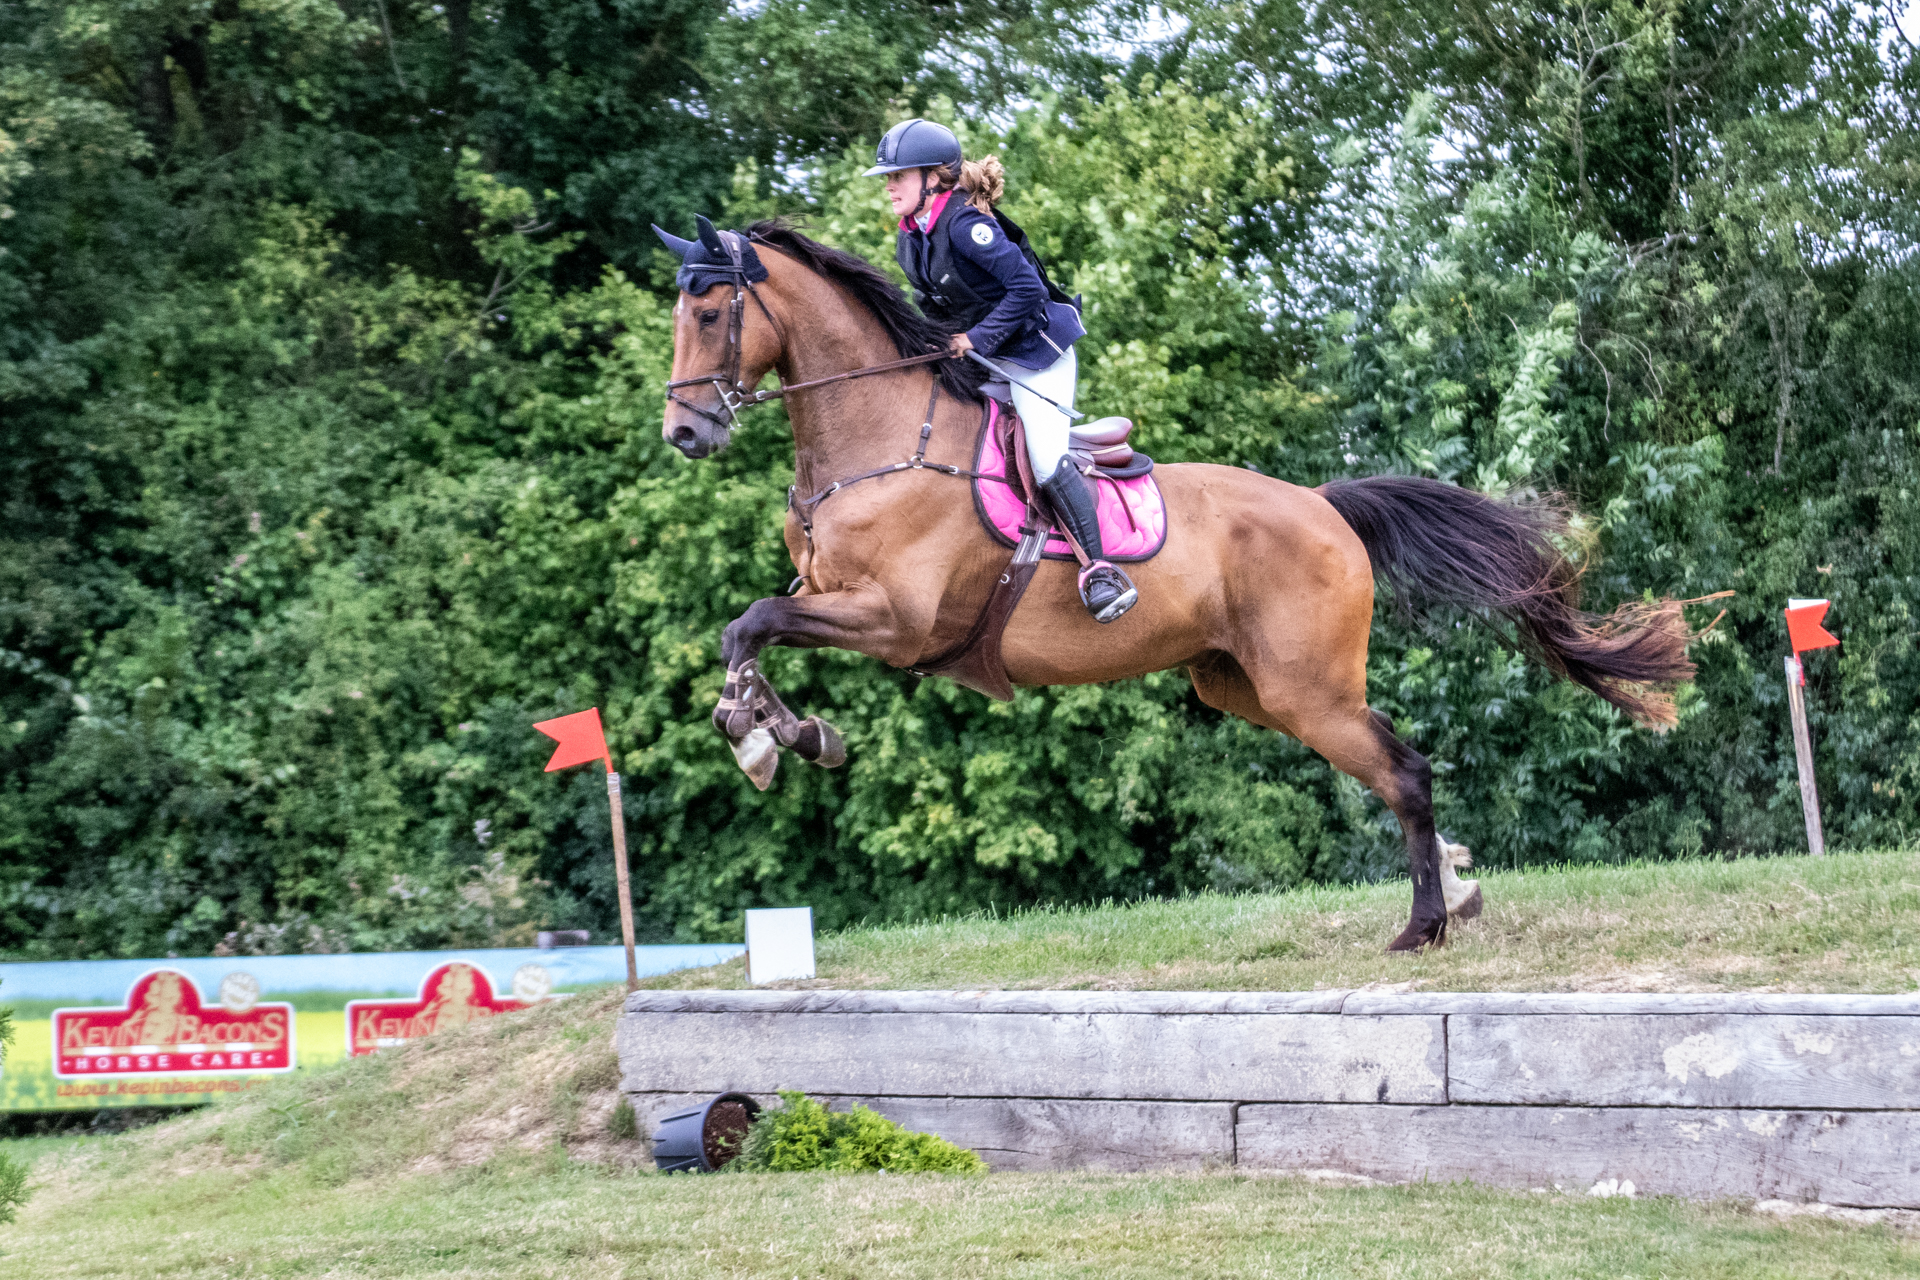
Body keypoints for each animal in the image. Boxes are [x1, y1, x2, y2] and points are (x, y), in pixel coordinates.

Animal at [656, 218, 1696, 952]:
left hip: (1304, 688)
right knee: (1395, 761)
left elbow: (753, 622)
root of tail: (1324, 506)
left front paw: (766, 739)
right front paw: (778, 730)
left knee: (1402, 771)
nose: (685, 435)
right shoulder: (837, 599)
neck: (877, 442)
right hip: (1248, 685)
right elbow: (749, 630)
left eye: (708, 316)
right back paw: (1458, 887)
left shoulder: (896, 621)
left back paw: (1422, 926)